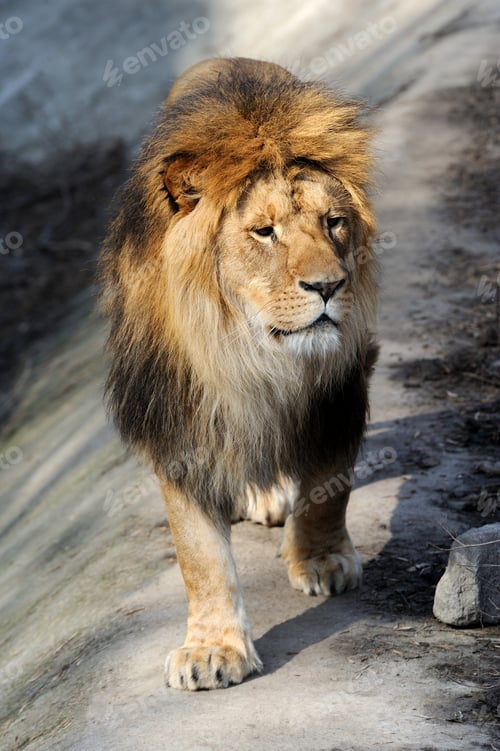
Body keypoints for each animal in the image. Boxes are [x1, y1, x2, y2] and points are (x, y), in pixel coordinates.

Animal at [100, 57, 378, 691]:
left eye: (334, 222)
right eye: (264, 231)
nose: (329, 287)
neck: (248, 351)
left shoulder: (341, 388)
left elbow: (330, 483)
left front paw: (322, 559)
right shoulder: (177, 419)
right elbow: (199, 556)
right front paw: (212, 649)